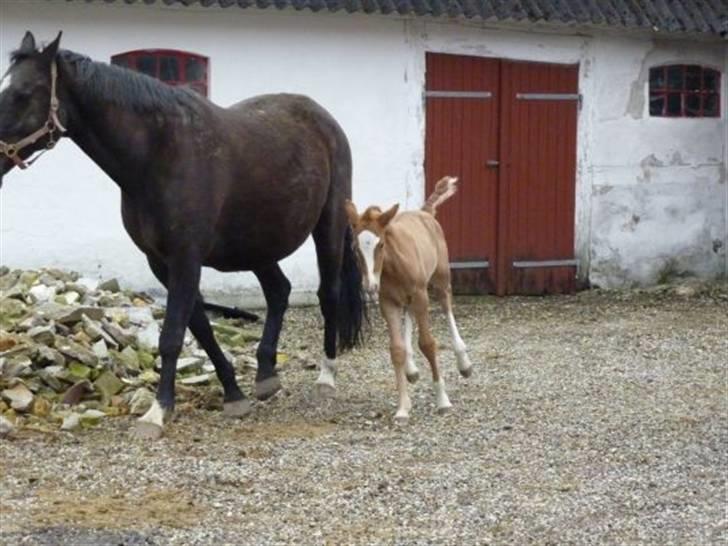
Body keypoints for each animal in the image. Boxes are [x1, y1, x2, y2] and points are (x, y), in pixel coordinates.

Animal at [0, 31, 364, 436]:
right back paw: (266, 375)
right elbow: (200, 328)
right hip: (254, 244)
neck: (157, 154)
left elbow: (173, 334)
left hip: (328, 226)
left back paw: (326, 377)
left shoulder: (185, 258)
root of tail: (321, 117)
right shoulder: (160, 262)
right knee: (279, 291)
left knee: (328, 294)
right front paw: (233, 393)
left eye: (23, 93)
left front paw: (157, 412)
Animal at [346, 176, 474, 418]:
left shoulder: (421, 295)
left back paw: (464, 363)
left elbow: (428, 343)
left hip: (440, 280)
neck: (393, 266)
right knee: (409, 315)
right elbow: (396, 350)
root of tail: (425, 212)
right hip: (405, 298)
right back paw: (411, 369)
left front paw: (443, 400)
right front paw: (403, 407)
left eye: (381, 244)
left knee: (447, 308)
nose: (369, 286)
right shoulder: (387, 302)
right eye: (354, 248)